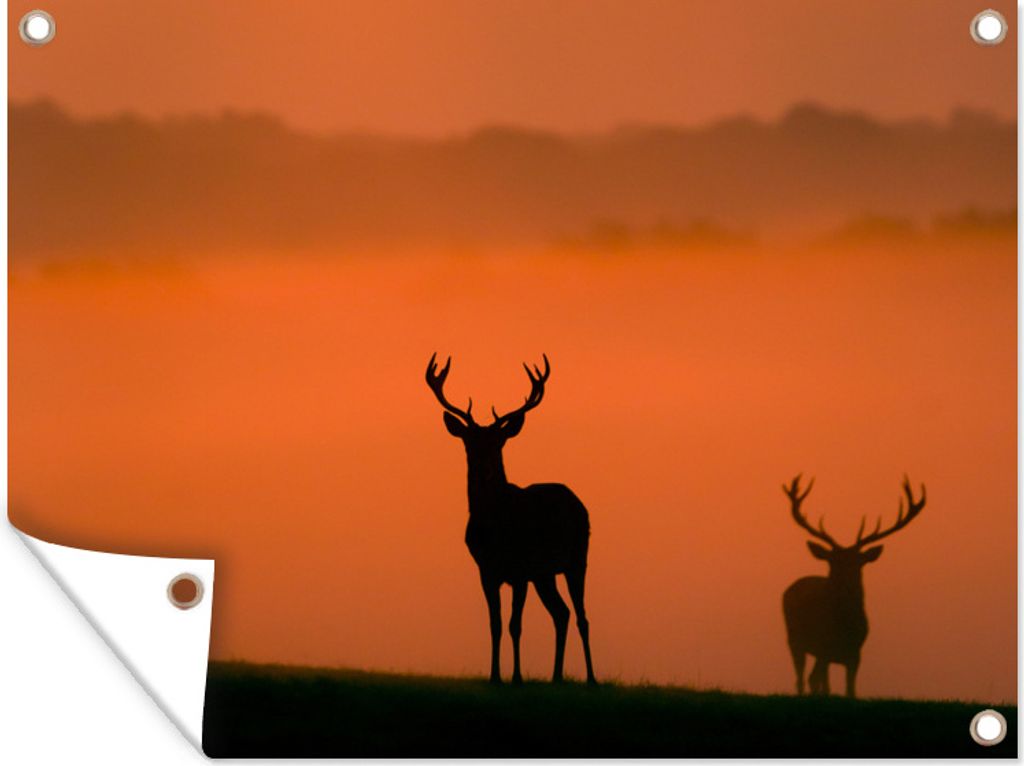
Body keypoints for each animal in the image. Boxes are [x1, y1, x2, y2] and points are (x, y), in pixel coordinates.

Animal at [425, 353, 596, 685]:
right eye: (469, 441)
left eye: (498, 442)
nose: (485, 468)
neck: (495, 528)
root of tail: (578, 503)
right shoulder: (486, 570)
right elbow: (495, 624)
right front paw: (495, 676)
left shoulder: (520, 570)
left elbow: (515, 625)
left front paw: (516, 678)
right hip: (545, 574)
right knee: (562, 613)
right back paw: (556, 677)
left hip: (576, 559)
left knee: (582, 617)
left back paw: (592, 679)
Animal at [781, 474, 926, 699]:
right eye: (832, 561)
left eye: (858, 562)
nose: (842, 582)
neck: (844, 626)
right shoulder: (824, 646)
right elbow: (822, 685)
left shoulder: (856, 653)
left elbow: (850, 689)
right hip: (794, 638)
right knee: (802, 677)